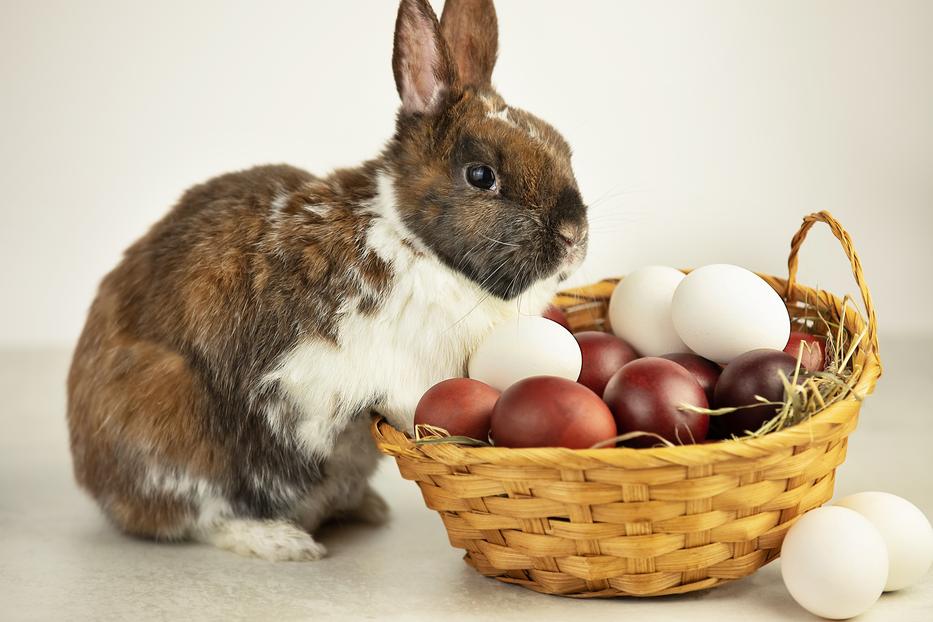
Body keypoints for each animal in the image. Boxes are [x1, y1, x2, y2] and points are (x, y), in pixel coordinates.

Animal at [69, 0, 588, 564]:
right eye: (480, 175)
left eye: (563, 148)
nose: (574, 236)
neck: (412, 242)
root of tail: (93, 479)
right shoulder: (396, 381)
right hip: (178, 432)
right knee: (199, 518)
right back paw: (285, 542)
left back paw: (365, 508)